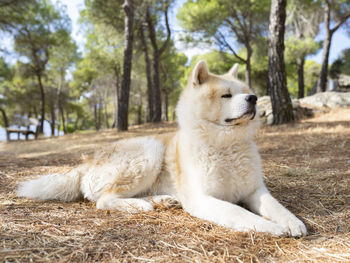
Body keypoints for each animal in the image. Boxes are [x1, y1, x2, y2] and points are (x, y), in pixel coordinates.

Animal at [17, 61, 306, 237]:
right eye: (226, 95)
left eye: (246, 91)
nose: (254, 98)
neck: (226, 146)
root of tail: (89, 161)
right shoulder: (203, 199)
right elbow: (239, 212)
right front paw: (270, 227)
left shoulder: (255, 191)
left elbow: (277, 207)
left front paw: (293, 222)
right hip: (150, 150)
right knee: (104, 200)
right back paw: (142, 205)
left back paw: (163, 200)